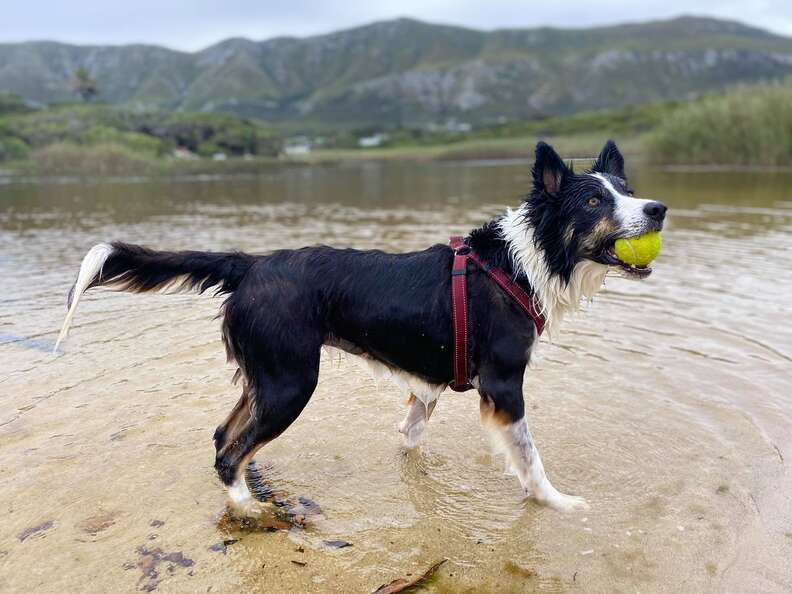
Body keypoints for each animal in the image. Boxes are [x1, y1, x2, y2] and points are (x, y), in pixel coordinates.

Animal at [55, 140, 666, 513]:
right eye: (594, 200)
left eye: (629, 191)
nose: (658, 210)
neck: (521, 262)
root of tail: (250, 264)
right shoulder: (503, 386)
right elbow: (531, 460)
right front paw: (557, 503)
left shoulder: (431, 384)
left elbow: (412, 433)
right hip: (290, 383)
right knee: (230, 453)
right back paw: (250, 509)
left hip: (265, 378)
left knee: (224, 437)